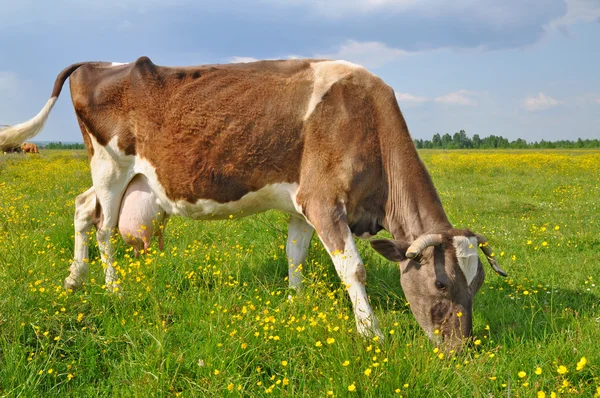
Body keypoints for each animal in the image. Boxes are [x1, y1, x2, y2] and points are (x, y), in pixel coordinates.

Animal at [0, 56, 506, 348]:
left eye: (478, 285)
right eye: (441, 284)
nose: (461, 349)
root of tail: (98, 61)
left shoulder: (304, 204)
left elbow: (296, 255)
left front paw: (296, 306)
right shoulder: (324, 200)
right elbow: (354, 269)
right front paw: (372, 333)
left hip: (124, 178)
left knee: (83, 210)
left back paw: (74, 280)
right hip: (110, 164)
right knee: (104, 227)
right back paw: (112, 289)